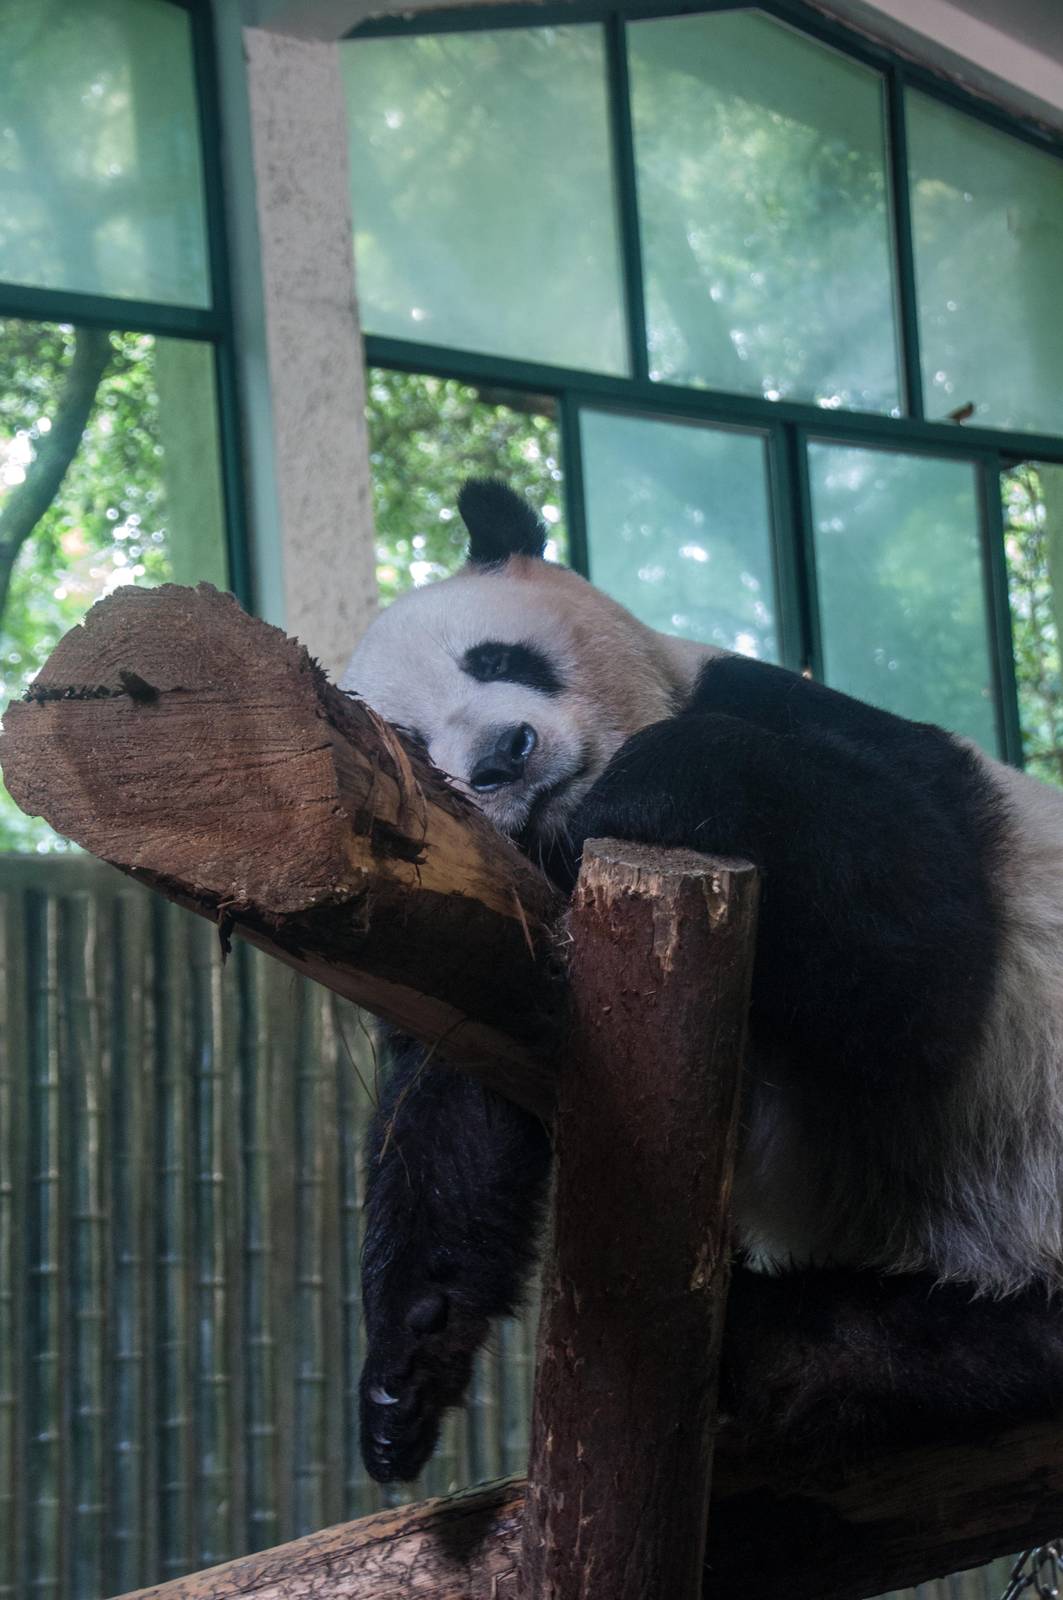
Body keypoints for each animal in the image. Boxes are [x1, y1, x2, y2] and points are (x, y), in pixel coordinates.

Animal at [342, 477, 1063, 1485]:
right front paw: (404, 1366)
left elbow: (929, 957)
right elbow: (454, 1111)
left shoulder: (784, 714)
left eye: (495, 658)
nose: (500, 757)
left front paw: (647, 779)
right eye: (411, 741)